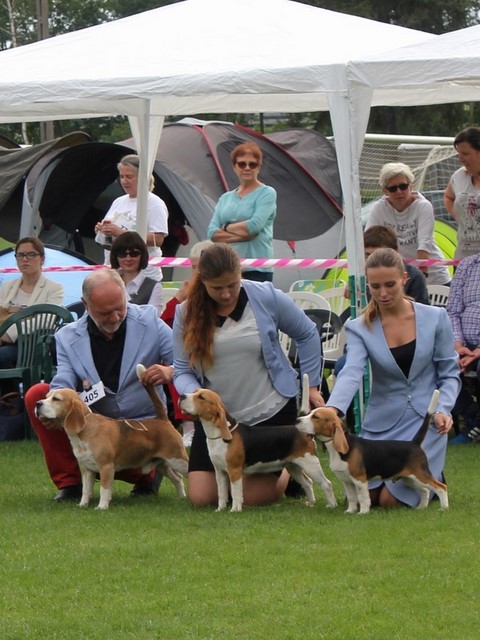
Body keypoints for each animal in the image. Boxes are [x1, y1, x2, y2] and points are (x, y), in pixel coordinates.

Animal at [35, 364, 189, 509]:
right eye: (47, 397)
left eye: (56, 399)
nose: (37, 403)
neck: (84, 430)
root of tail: (162, 420)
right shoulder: (87, 469)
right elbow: (86, 490)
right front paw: (82, 505)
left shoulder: (106, 467)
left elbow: (104, 489)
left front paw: (102, 507)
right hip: (163, 463)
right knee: (178, 478)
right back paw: (181, 497)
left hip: (178, 460)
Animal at [179, 388, 337, 512]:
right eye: (194, 392)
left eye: (201, 397)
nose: (181, 396)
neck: (219, 434)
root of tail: (301, 431)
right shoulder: (220, 472)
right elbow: (222, 493)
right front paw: (220, 509)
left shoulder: (234, 471)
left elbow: (236, 492)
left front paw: (235, 509)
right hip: (294, 467)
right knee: (307, 483)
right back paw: (311, 503)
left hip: (310, 464)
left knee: (327, 484)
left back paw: (332, 505)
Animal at [296, 389, 448, 514]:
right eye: (310, 413)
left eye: (316, 417)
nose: (297, 420)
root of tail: (414, 443)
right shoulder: (347, 481)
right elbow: (352, 497)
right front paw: (350, 511)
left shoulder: (359, 480)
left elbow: (363, 497)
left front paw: (363, 512)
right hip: (409, 478)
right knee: (425, 490)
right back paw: (421, 507)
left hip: (420, 474)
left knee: (441, 487)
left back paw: (444, 508)